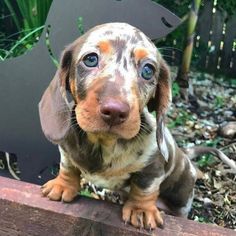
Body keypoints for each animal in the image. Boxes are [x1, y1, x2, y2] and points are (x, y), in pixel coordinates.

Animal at [39, 22, 197, 229]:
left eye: (148, 70)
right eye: (90, 59)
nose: (115, 111)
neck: (104, 144)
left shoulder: (153, 166)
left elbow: (145, 187)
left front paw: (141, 210)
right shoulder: (66, 150)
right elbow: (68, 167)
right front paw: (62, 185)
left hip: (182, 193)